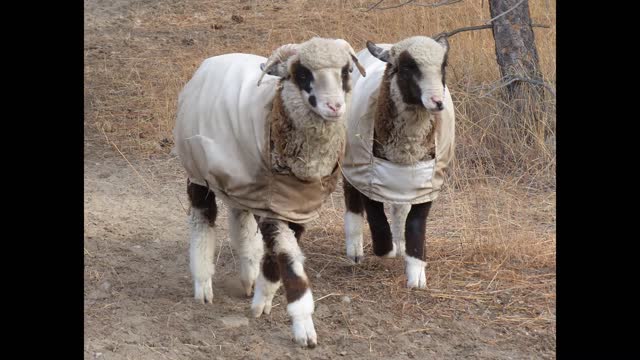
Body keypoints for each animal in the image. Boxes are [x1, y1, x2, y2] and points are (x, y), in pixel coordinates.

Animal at [172, 37, 368, 348]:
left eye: (346, 70)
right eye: (302, 74)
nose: (334, 106)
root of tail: (214, 60)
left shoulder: (295, 208)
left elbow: (277, 259)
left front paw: (262, 299)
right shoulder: (276, 208)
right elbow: (289, 262)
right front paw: (303, 327)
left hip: (240, 181)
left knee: (239, 219)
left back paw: (248, 276)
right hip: (197, 173)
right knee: (202, 222)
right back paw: (203, 284)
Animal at [340, 35, 456, 290]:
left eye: (443, 67)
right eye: (407, 68)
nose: (437, 102)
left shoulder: (427, 182)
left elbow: (416, 223)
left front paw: (416, 275)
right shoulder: (369, 175)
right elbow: (375, 216)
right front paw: (386, 249)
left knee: (399, 207)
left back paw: (400, 242)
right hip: (351, 159)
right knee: (352, 200)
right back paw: (355, 250)